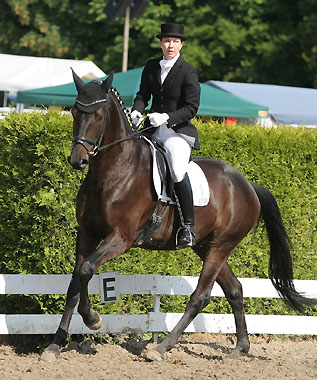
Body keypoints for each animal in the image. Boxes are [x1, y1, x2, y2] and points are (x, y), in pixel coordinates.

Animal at [42, 72, 316, 360]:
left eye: (99, 115)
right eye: (74, 112)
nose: (78, 160)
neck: (112, 171)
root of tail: (248, 186)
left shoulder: (121, 238)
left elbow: (86, 269)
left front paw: (93, 319)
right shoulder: (86, 234)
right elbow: (76, 281)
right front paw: (55, 344)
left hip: (222, 244)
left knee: (201, 296)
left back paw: (162, 347)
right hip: (205, 245)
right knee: (234, 289)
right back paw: (240, 347)